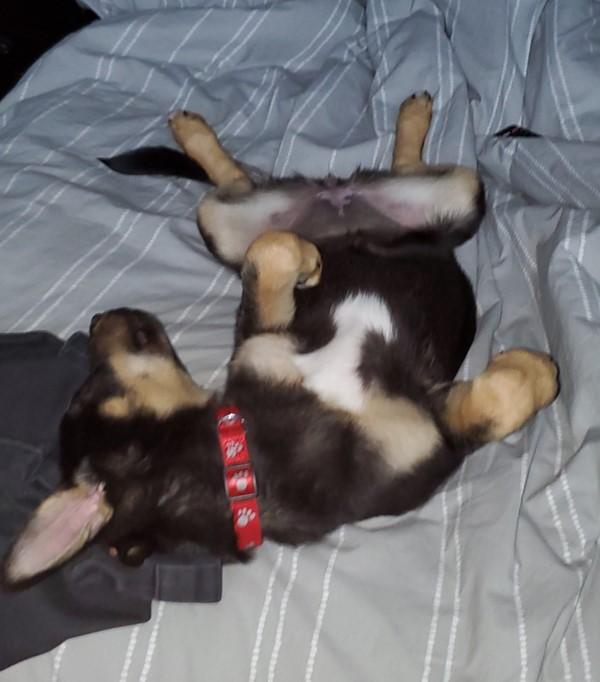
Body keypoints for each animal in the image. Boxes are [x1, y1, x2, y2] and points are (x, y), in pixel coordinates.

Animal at [3, 89, 556, 580]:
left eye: (88, 388)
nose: (97, 319)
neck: (245, 461)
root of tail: (335, 196)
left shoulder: (265, 338)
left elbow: (270, 252)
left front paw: (307, 263)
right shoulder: (434, 436)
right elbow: (501, 399)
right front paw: (539, 370)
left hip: (428, 199)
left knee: (256, 190)